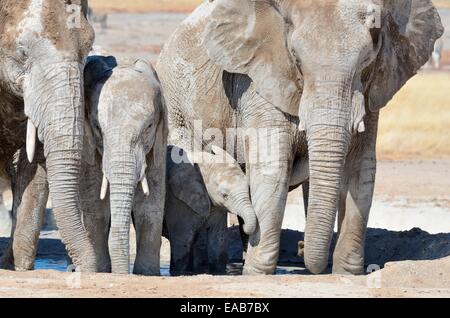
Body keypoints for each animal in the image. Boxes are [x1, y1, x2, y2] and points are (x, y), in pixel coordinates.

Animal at [165, 145, 256, 274]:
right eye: (225, 195)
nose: (242, 225)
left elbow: (218, 236)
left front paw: (219, 272)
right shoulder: (177, 199)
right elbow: (182, 235)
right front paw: (178, 274)